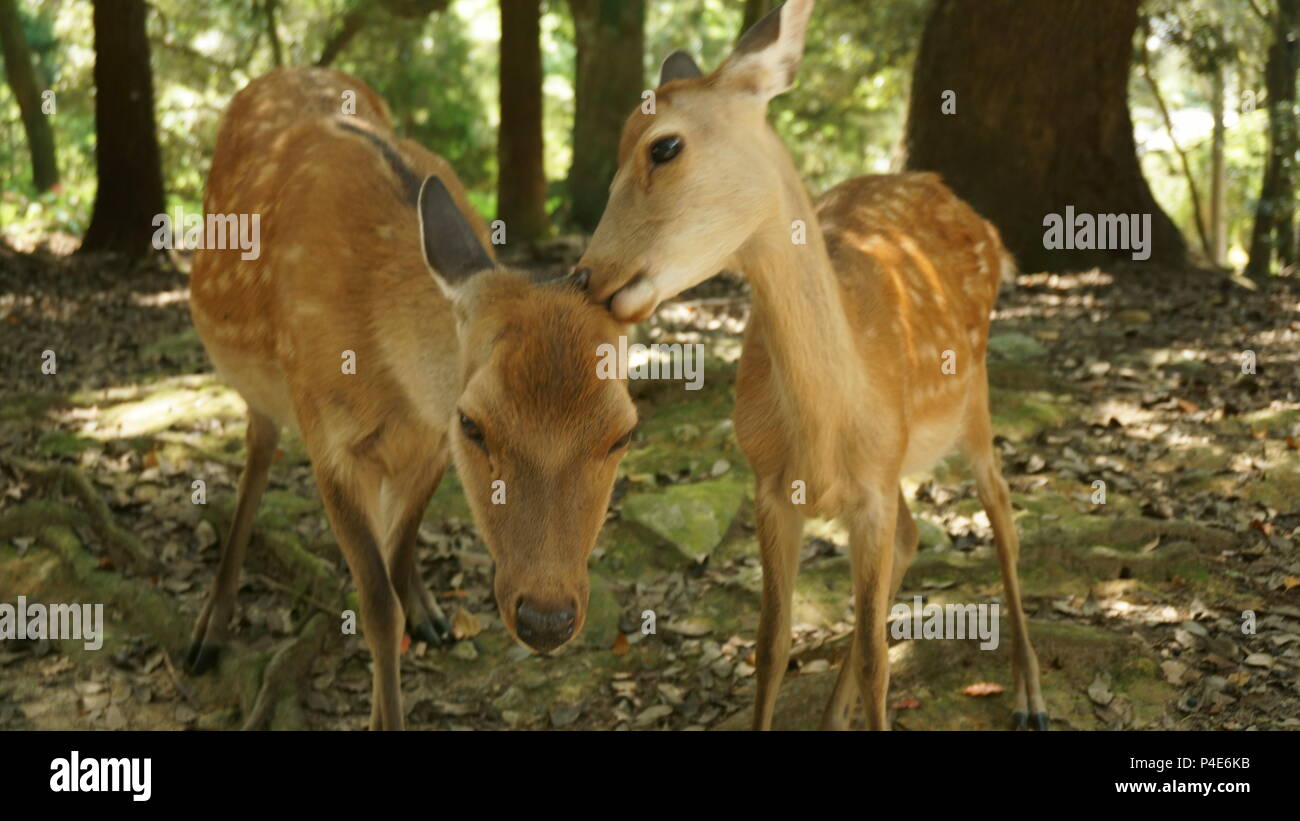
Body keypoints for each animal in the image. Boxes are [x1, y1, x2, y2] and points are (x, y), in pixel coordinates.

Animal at [189, 67, 637, 727]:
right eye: (474, 423)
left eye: (624, 432)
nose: (546, 618)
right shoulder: (329, 437)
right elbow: (377, 604)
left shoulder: (427, 443)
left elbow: (397, 560)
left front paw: (415, 621)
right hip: (264, 388)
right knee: (258, 452)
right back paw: (209, 628)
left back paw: (429, 611)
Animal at [574, 0, 1050, 732]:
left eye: (663, 146)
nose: (584, 275)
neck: (828, 427)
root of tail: (987, 228)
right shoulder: (773, 484)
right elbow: (771, 645)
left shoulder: (874, 485)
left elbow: (882, 662)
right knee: (914, 536)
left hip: (972, 395)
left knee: (1000, 506)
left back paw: (1030, 695)